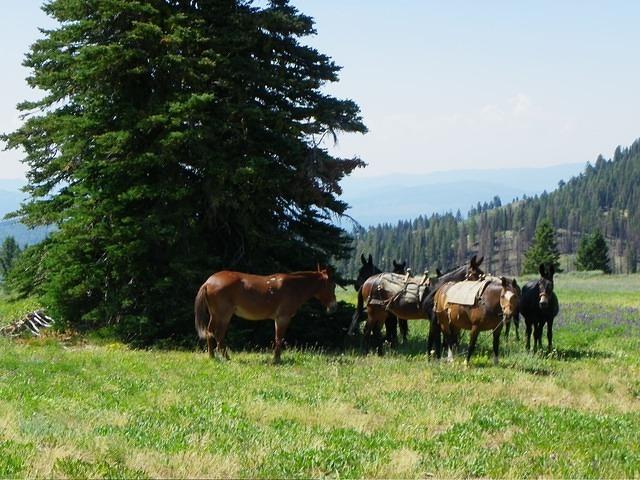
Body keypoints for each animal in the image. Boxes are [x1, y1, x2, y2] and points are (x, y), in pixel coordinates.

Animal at [194, 268, 337, 363]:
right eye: (333, 285)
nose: (334, 306)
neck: (294, 287)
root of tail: (208, 282)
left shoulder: (278, 319)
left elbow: (278, 338)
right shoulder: (283, 318)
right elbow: (279, 338)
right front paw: (276, 360)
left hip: (215, 314)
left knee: (209, 332)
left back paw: (212, 356)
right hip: (224, 315)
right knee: (218, 334)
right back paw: (226, 357)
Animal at [351, 255, 485, 355]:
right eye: (476, 274)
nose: (483, 289)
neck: (440, 289)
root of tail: (368, 281)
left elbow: (434, 337)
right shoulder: (435, 318)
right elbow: (435, 338)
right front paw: (435, 356)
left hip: (382, 313)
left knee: (376, 330)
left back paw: (380, 353)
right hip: (373, 312)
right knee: (367, 330)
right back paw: (366, 352)